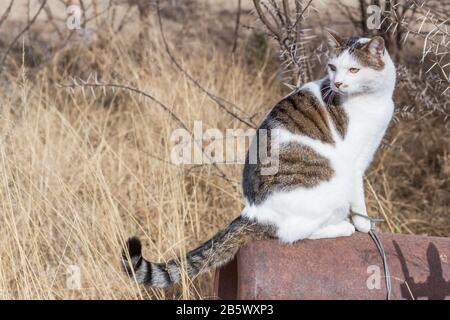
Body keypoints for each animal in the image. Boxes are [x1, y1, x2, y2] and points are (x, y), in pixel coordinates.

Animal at [121, 31, 396, 288]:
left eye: (353, 69)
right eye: (332, 67)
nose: (337, 83)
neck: (375, 99)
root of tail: (253, 211)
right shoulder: (356, 162)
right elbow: (358, 199)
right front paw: (364, 225)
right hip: (333, 182)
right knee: (293, 233)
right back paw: (341, 227)